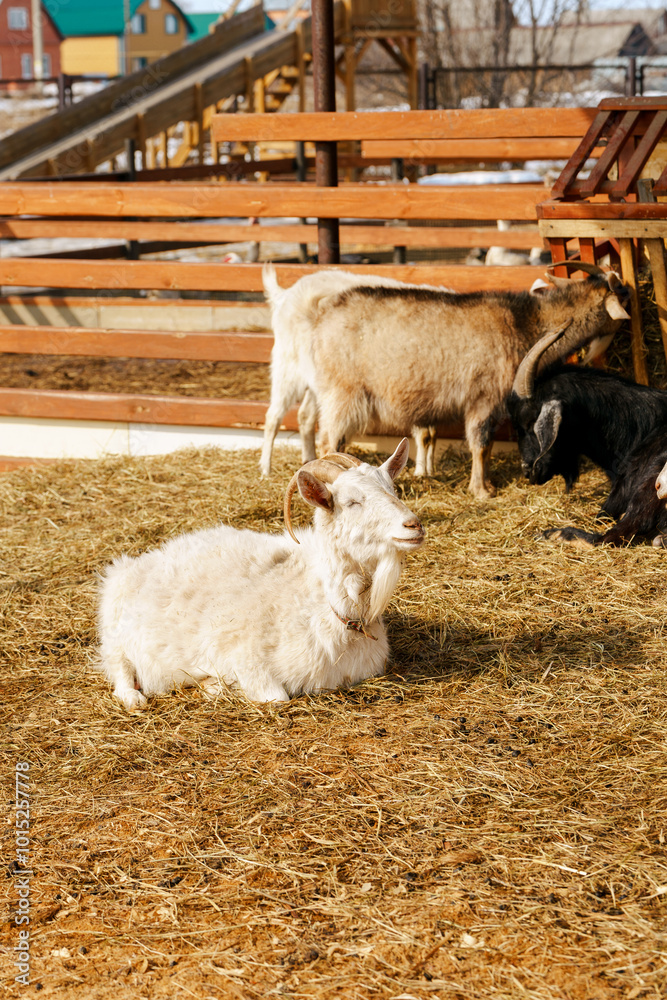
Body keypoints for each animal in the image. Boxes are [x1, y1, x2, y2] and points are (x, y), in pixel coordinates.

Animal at [97, 440, 424, 710]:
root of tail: (147, 557)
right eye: (352, 502)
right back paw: (134, 696)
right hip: (115, 630)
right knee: (118, 665)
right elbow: (276, 697)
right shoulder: (245, 658)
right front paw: (214, 684)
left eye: (393, 490)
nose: (414, 525)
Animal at [264, 261, 629, 499]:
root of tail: (320, 315)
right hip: (339, 392)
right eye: (622, 292)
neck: (523, 322)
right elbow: (480, 443)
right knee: (323, 438)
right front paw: (482, 491)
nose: (629, 290)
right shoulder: (483, 398)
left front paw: (486, 485)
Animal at [508, 326, 667, 547]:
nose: (527, 470)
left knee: (606, 537)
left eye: (530, 423)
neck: (640, 428)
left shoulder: (619, 495)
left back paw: (552, 533)